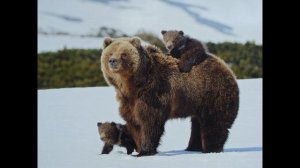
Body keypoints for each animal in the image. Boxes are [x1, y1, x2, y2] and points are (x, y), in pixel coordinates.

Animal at [101, 36, 239, 156]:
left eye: (124, 54)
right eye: (110, 53)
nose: (112, 61)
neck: (133, 85)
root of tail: (227, 68)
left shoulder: (154, 94)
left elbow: (150, 121)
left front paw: (145, 151)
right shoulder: (128, 101)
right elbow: (135, 123)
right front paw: (138, 148)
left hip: (213, 94)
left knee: (214, 123)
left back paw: (211, 149)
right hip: (198, 102)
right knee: (197, 124)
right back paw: (193, 148)